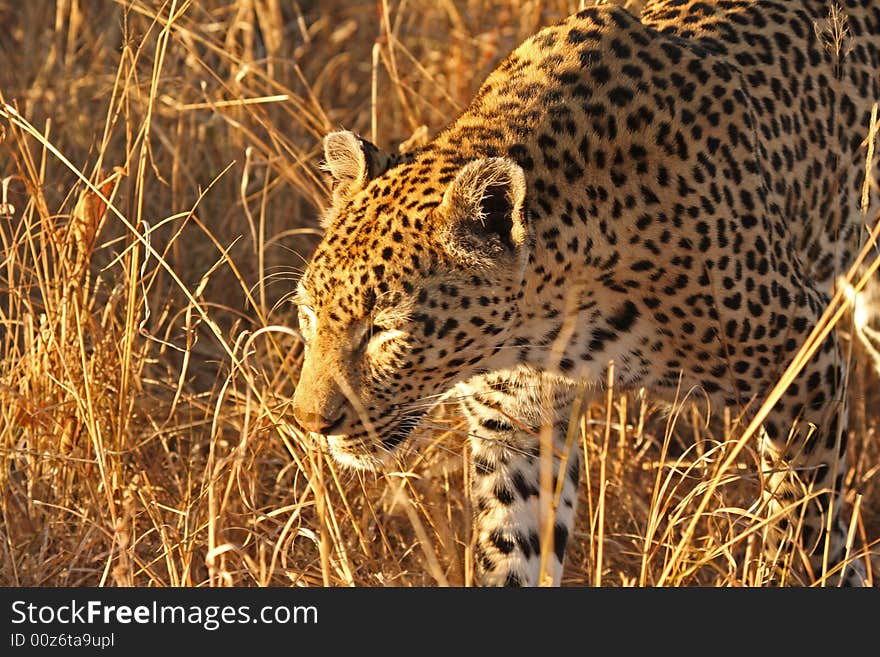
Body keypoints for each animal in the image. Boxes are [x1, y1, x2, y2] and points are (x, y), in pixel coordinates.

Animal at [290, 0, 880, 584]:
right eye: (309, 316)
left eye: (384, 330)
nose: (310, 424)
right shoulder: (515, 424)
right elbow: (514, 547)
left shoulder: (802, 364)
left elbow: (805, 515)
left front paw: (823, 571)